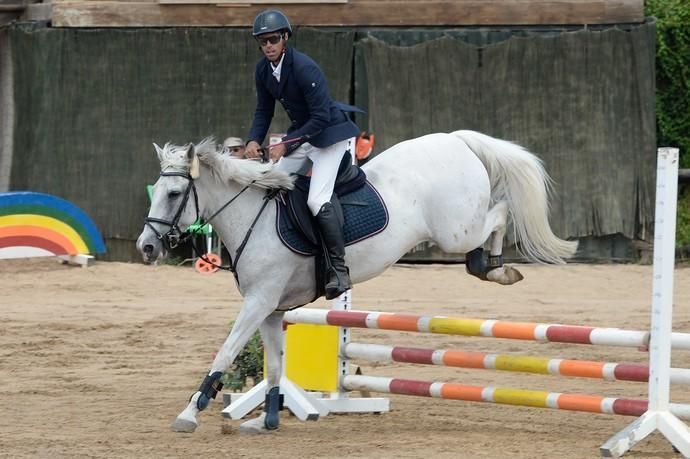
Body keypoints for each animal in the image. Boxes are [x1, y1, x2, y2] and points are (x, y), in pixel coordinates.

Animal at [134, 130, 576, 434]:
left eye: (174, 193)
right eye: (157, 191)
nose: (147, 248)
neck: (250, 217)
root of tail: (456, 139)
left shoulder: (258, 303)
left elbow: (224, 354)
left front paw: (189, 413)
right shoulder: (271, 309)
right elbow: (275, 368)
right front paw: (268, 419)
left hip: (456, 230)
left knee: (499, 213)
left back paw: (496, 267)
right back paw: (489, 266)